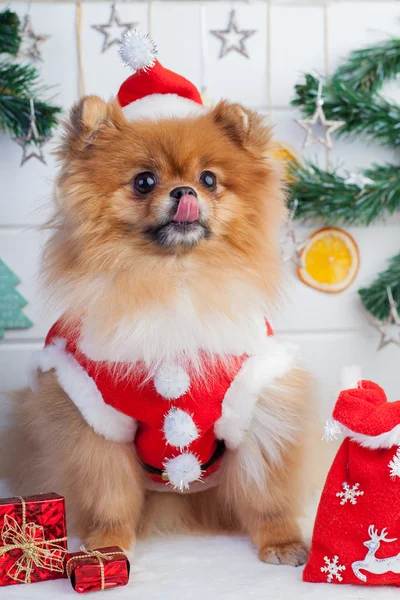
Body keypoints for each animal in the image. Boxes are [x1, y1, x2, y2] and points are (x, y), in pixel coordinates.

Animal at [7, 32, 316, 568]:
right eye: (144, 181)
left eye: (210, 179)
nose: (186, 191)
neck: (174, 280)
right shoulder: (95, 419)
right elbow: (108, 496)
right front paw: (107, 547)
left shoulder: (257, 407)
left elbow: (265, 491)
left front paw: (280, 540)